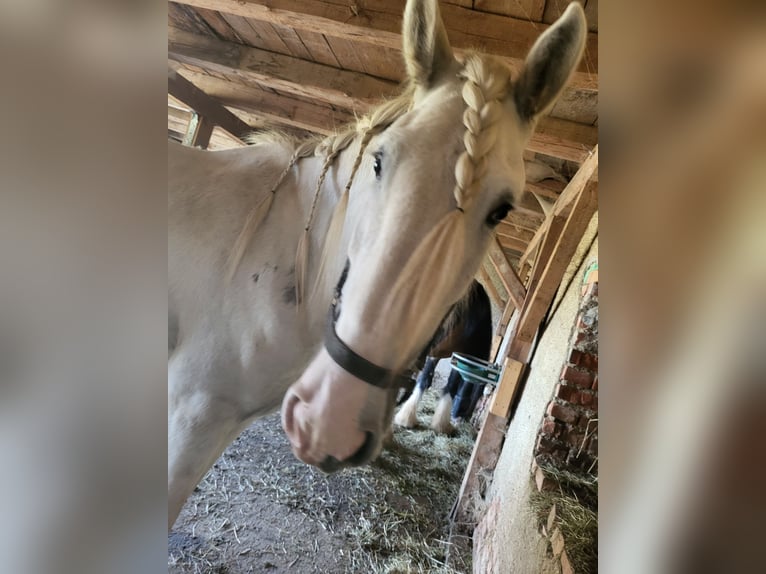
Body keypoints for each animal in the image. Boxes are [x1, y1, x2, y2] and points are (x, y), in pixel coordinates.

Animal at [392, 282, 496, 434]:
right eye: (475, 399)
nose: (461, 419)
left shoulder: (436, 355)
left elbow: (425, 380)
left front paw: (406, 417)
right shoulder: (458, 356)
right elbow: (450, 387)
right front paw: (441, 424)